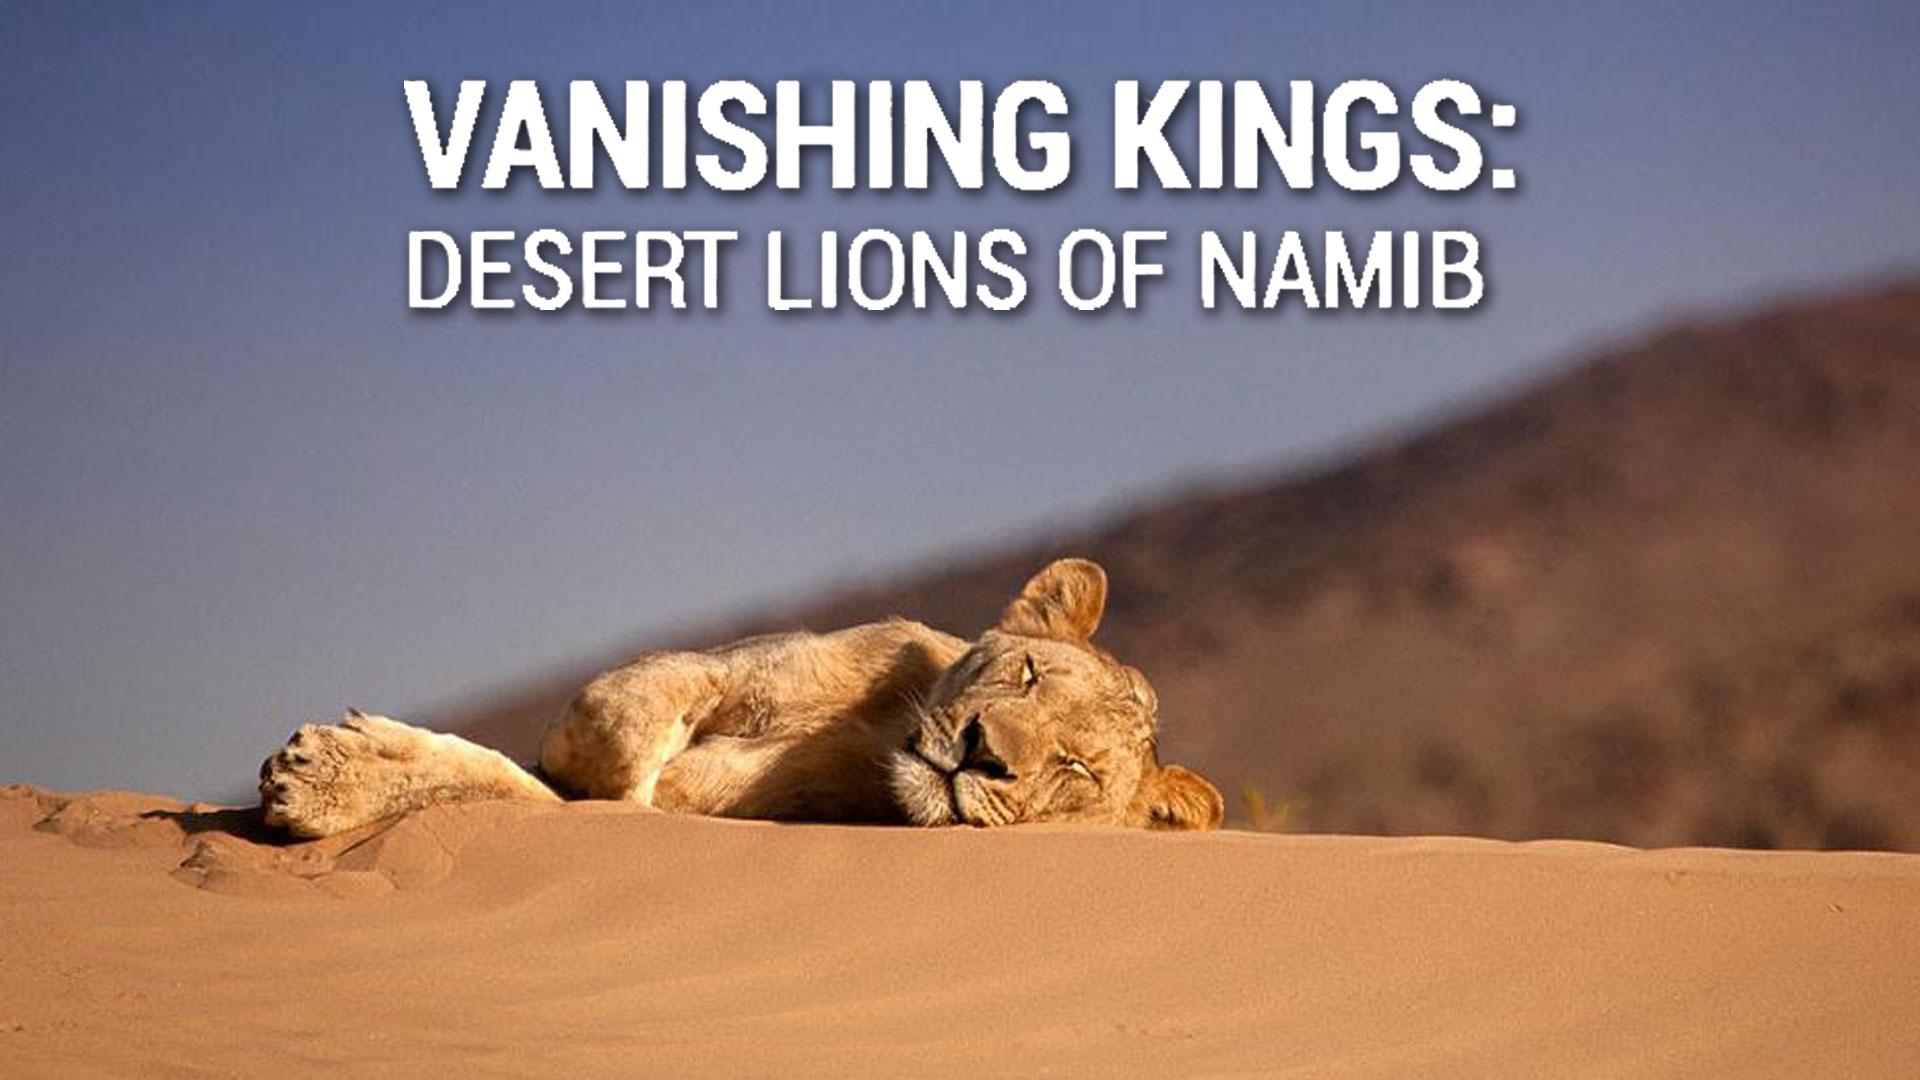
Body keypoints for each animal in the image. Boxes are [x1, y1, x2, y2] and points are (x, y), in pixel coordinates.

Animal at [258, 558, 1224, 838]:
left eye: (1073, 767)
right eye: (1027, 674)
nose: (983, 750)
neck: (879, 736)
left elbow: (531, 794)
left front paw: (326, 777)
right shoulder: (737, 666)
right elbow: (627, 720)